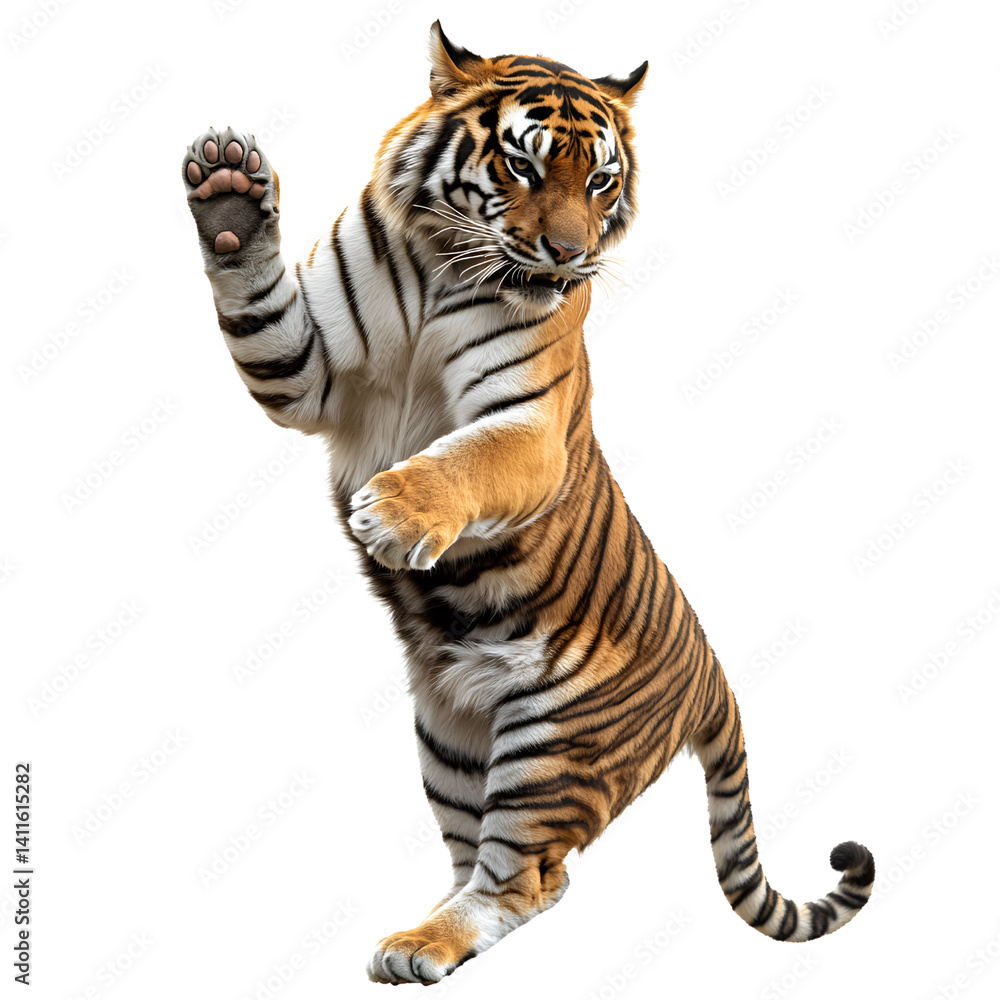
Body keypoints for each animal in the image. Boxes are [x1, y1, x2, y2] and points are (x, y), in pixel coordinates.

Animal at [180, 21, 875, 986]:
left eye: (601, 182)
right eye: (521, 166)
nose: (568, 255)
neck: (441, 265)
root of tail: (710, 672)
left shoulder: (529, 423)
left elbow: (470, 461)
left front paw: (393, 515)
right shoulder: (309, 370)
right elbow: (262, 309)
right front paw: (230, 193)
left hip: (550, 747)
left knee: (531, 880)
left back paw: (420, 946)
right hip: (449, 736)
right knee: (485, 863)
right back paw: (427, 921)